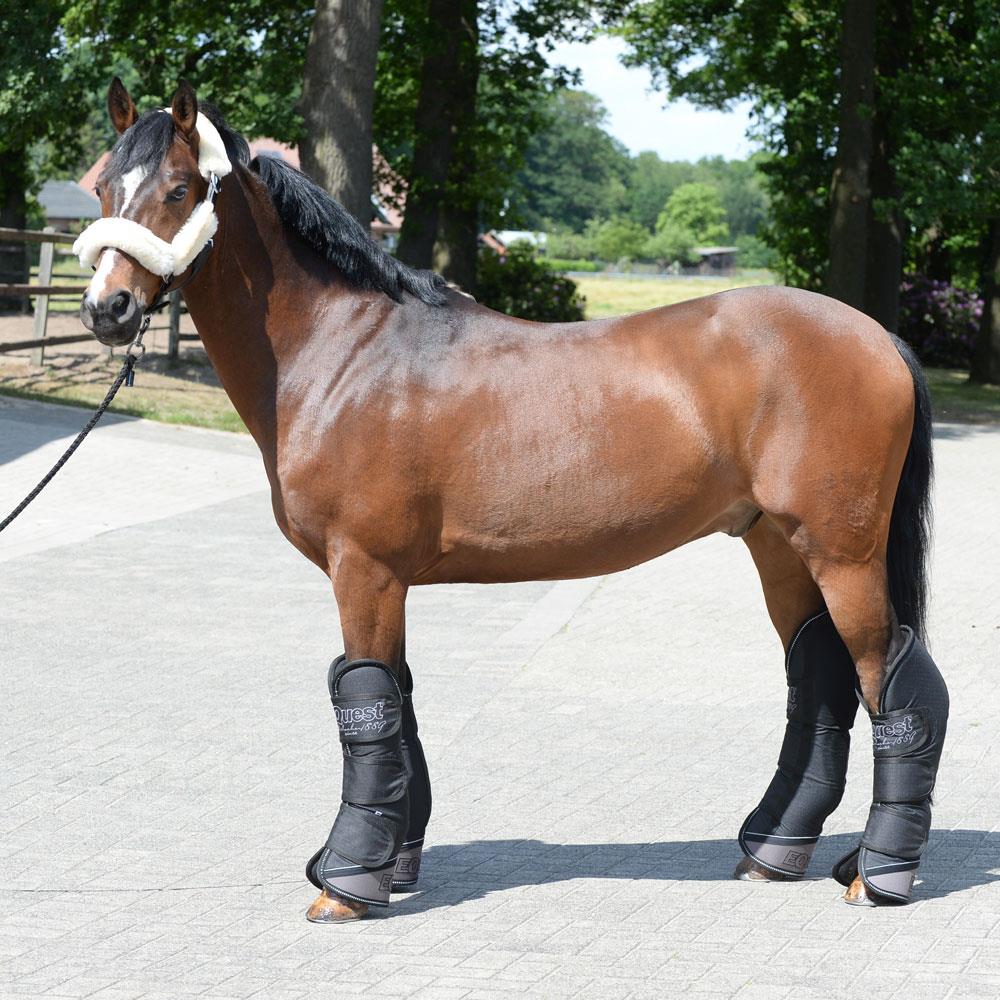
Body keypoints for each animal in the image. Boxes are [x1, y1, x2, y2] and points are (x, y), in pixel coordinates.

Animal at [74, 79, 948, 921]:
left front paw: (347, 882)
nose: (107, 309)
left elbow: (366, 706)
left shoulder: (363, 569)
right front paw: (391, 865)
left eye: (180, 188)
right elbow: (393, 701)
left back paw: (879, 874)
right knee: (821, 676)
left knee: (892, 681)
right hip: (778, 548)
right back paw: (774, 852)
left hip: (843, 554)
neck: (343, 356)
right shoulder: (385, 580)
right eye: (102, 187)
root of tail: (879, 337)